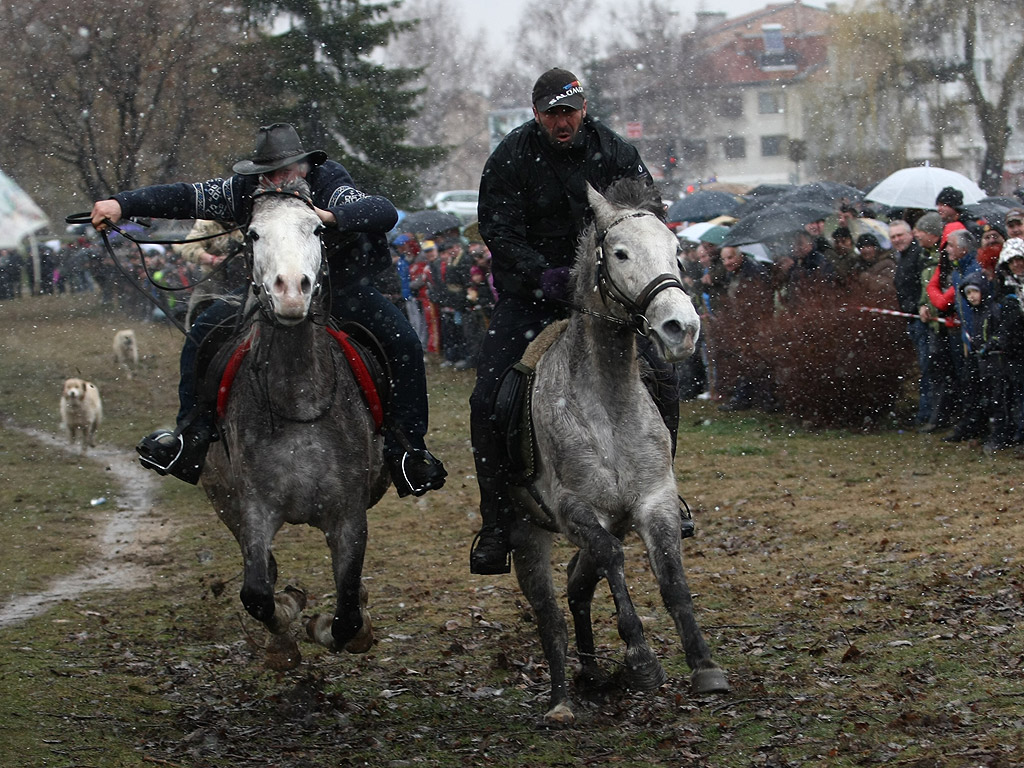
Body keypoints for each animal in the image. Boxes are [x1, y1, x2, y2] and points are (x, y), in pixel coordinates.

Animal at [199, 179, 387, 663]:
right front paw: (287, 618)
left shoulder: (348, 516)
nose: (290, 292)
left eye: (319, 230)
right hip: (222, 498)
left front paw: (332, 625)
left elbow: (347, 614)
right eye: (252, 234)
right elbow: (257, 594)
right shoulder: (254, 508)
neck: (300, 402)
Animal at [507, 177, 724, 724]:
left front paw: (704, 665)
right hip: (525, 536)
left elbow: (671, 578)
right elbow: (612, 556)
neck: (606, 403)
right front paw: (642, 659)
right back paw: (562, 699)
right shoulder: (577, 511)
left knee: (576, 584)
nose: (681, 328)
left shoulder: (654, 500)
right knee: (550, 614)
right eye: (621, 253)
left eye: (677, 252)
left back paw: (590, 673)